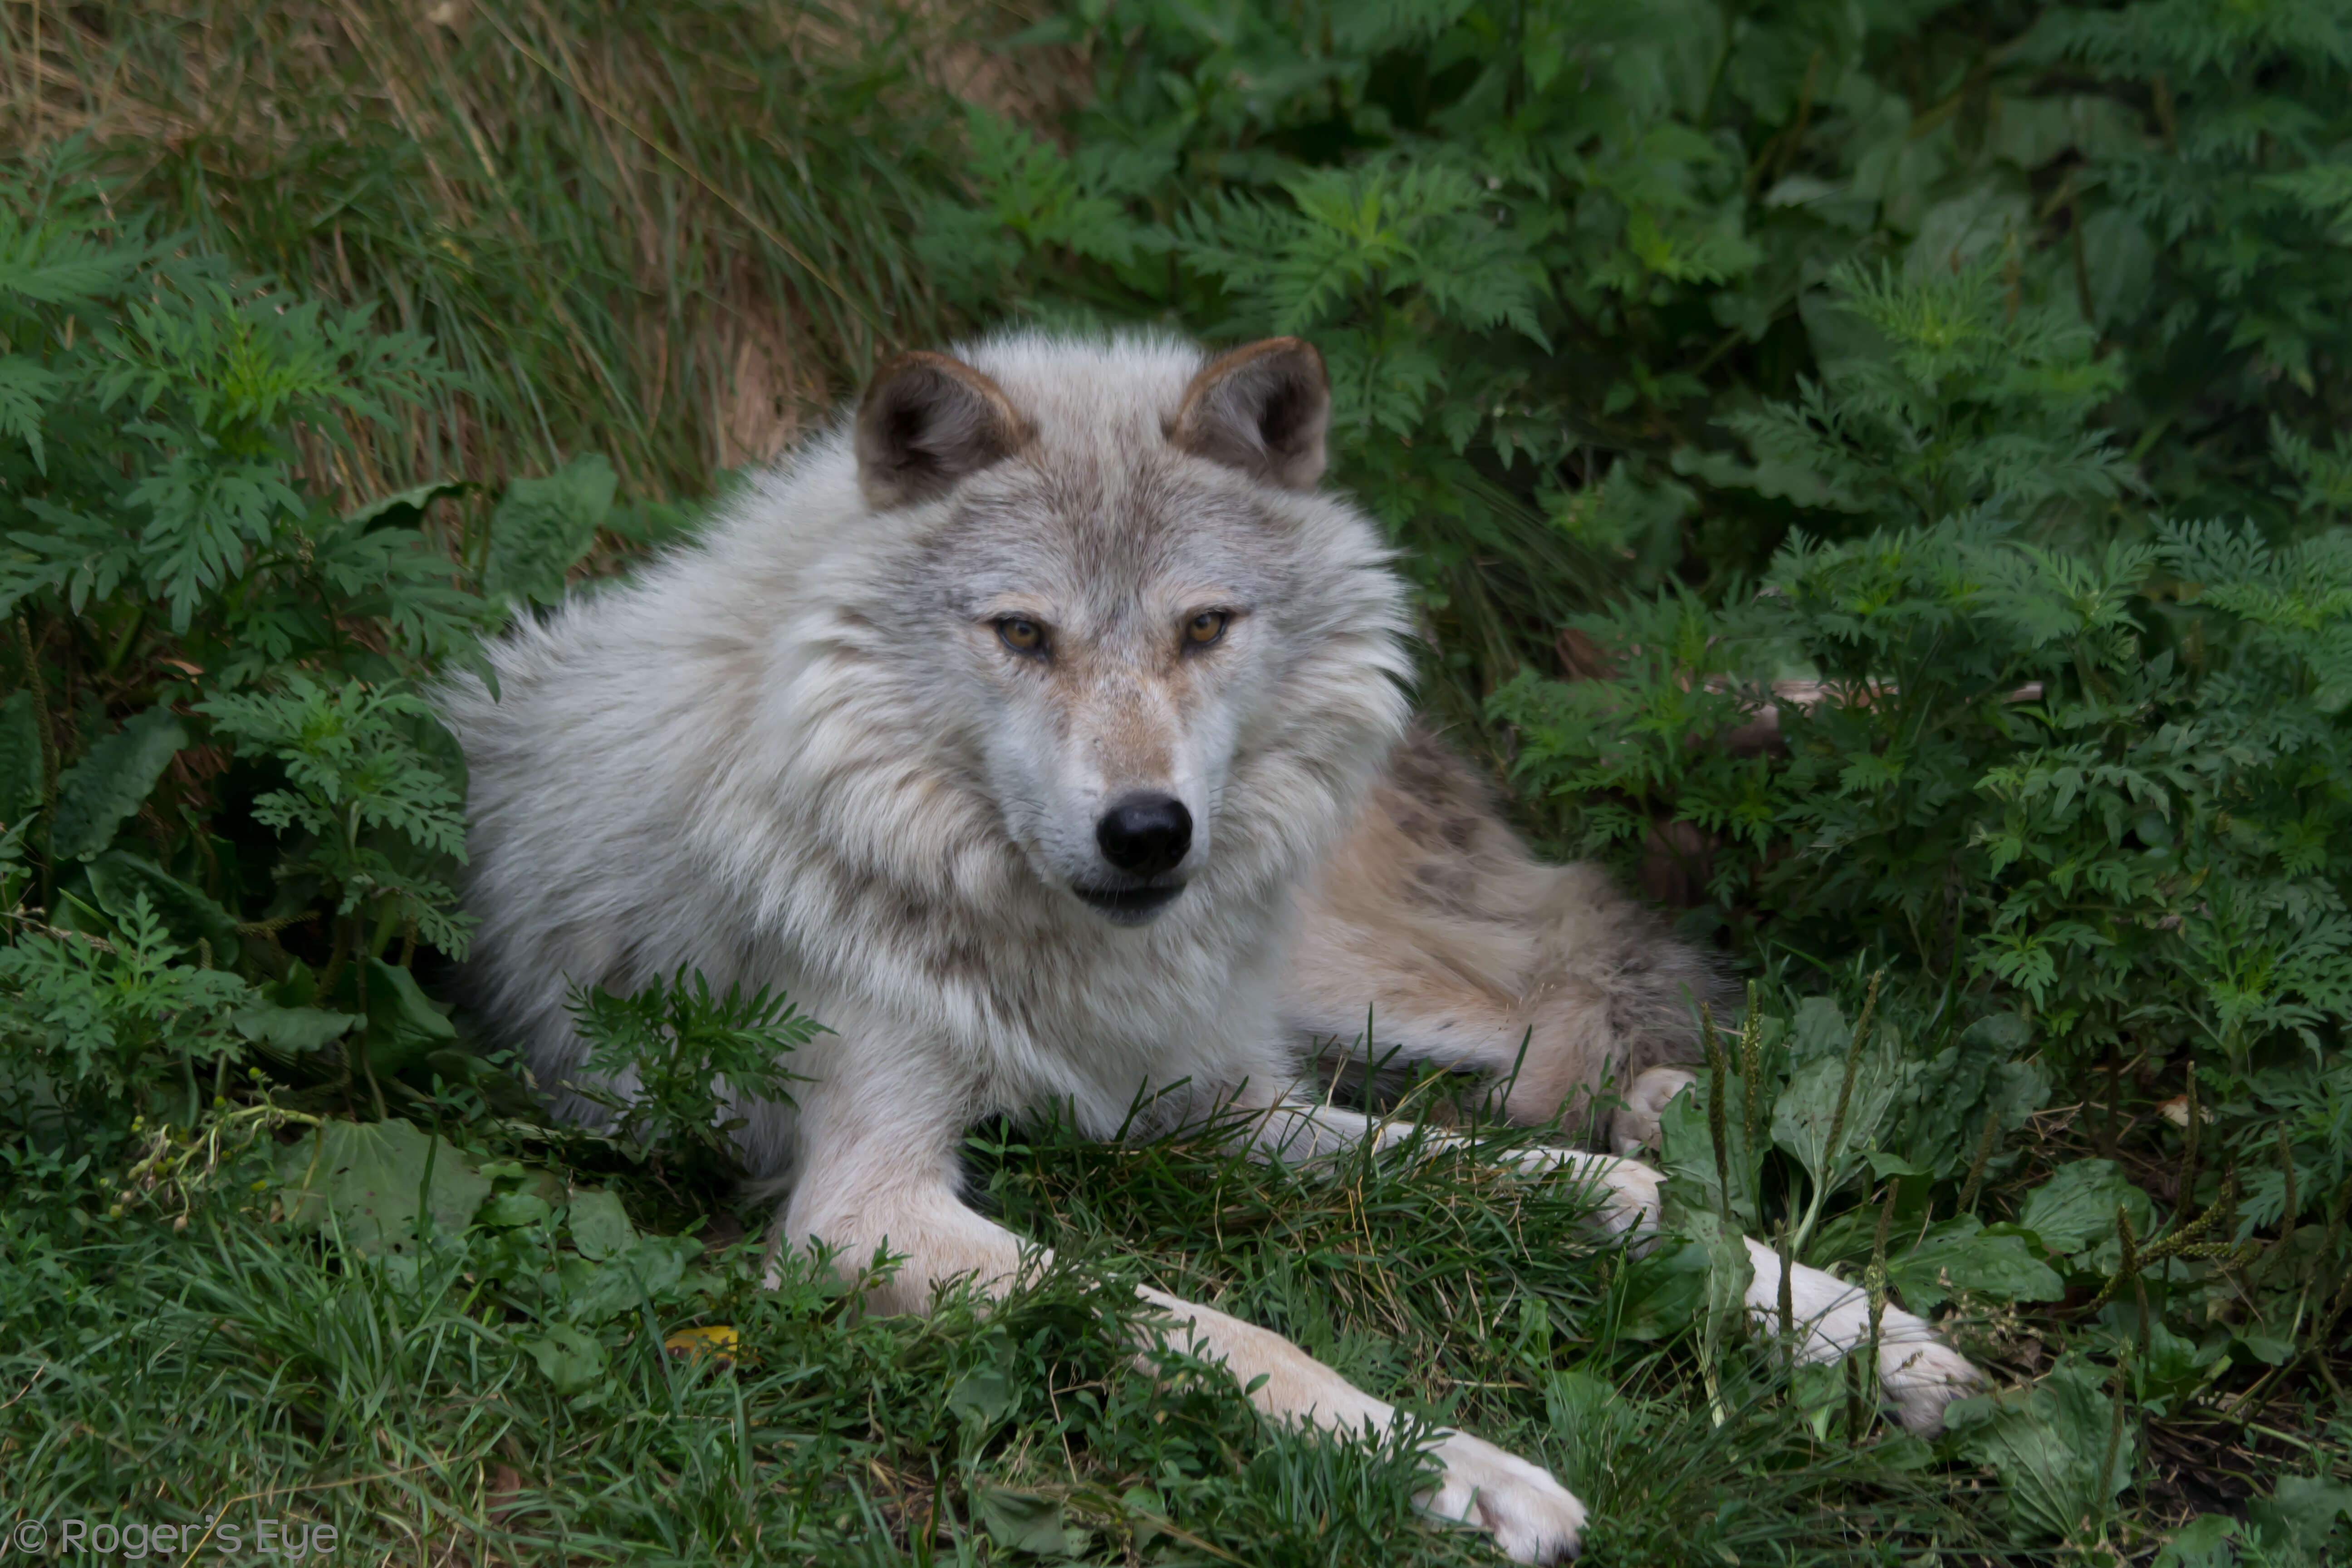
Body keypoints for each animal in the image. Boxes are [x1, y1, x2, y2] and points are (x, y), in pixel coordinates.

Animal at [442, 329, 1985, 1561]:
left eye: (1201, 626)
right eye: (1023, 634)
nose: (1147, 832)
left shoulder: (1214, 1101)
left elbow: (1583, 1190)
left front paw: (1855, 1327)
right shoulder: (865, 1212)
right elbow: (1207, 1320)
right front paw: (1464, 1471)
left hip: (1346, 983)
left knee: (1579, 1022)